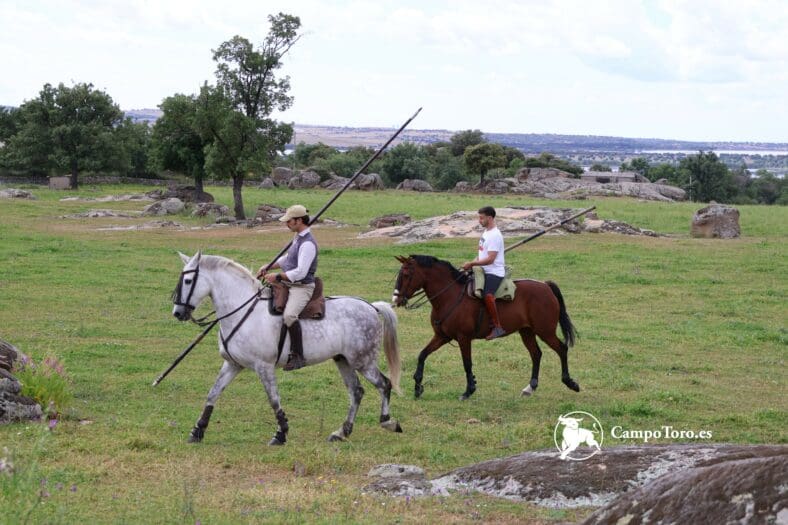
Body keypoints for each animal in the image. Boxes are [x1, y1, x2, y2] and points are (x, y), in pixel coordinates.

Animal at [170, 251, 403, 445]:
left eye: (188, 280)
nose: (178, 313)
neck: (244, 310)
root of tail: (371, 307)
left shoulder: (264, 366)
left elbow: (274, 399)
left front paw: (281, 434)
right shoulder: (232, 364)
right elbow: (213, 393)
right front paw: (197, 431)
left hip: (363, 361)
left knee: (384, 384)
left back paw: (388, 422)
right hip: (343, 360)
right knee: (356, 391)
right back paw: (341, 432)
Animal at [392, 255, 579, 400]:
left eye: (406, 274)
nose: (396, 299)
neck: (450, 295)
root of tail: (545, 286)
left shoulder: (463, 338)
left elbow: (467, 363)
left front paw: (469, 390)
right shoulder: (441, 336)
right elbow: (422, 355)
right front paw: (417, 387)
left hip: (545, 331)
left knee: (561, 349)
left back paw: (570, 382)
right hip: (527, 331)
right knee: (536, 354)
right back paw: (530, 387)